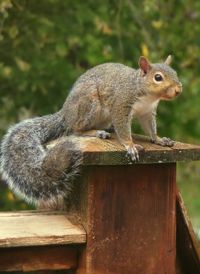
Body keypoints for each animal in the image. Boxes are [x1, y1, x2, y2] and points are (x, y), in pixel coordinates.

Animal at [0, 56, 181, 209]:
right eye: (158, 77)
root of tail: (65, 114)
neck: (146, 94)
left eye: (175, 73)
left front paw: (160, 140)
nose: (179, 90)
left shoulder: (147, 113)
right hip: (89, 103)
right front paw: (130, 146)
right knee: (75, 129)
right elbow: (123, 129)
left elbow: (151, 129)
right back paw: (96, 132)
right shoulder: (121, 106)